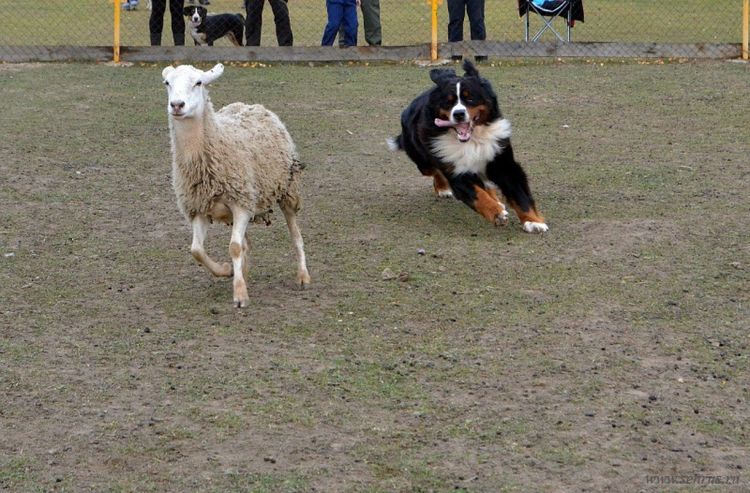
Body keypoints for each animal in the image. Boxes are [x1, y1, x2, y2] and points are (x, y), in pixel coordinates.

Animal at [161, 63, 310, 308]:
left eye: (198, 83)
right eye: (167, 83)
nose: (177, 105)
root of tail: (251, 105)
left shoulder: (240, 205)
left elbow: (234, 247)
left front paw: (240, 295)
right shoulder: (199, 209)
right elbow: (197, 250)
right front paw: (226, 271)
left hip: (287, 190)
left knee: (295, 236)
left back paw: (303, 276)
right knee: (245, 244)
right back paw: (243, 273)